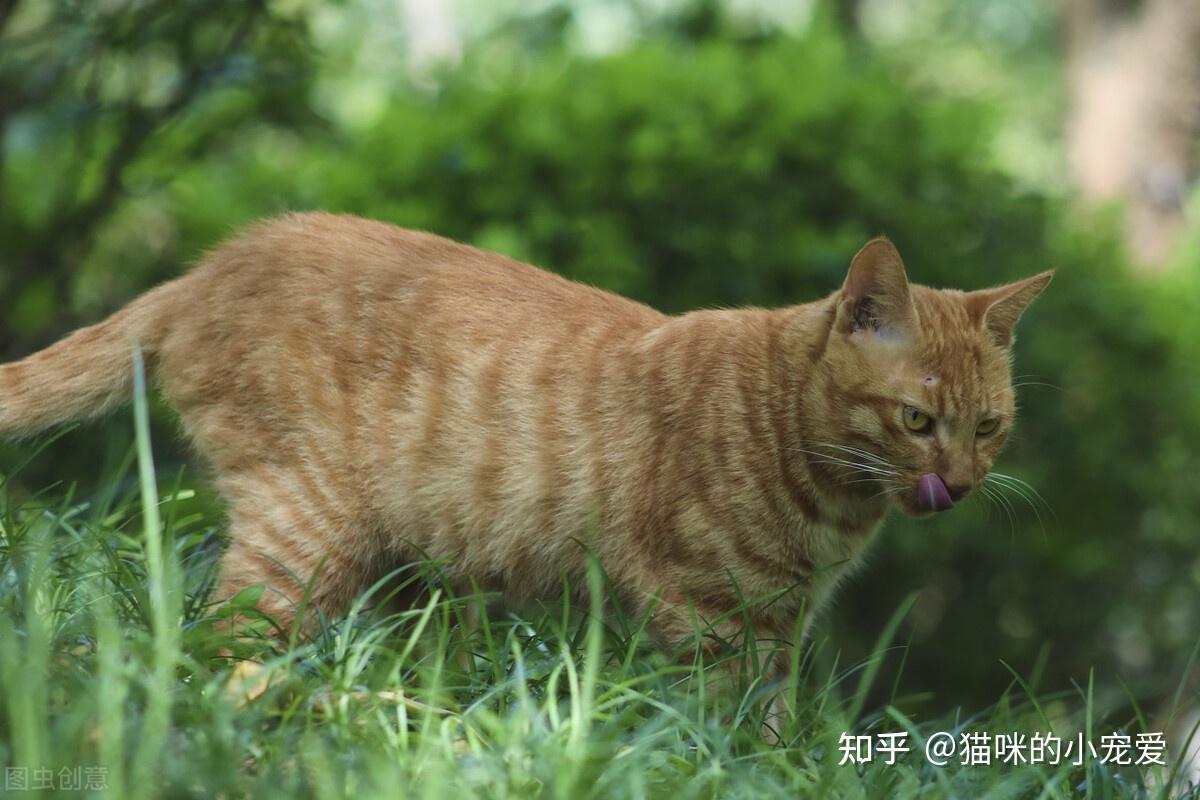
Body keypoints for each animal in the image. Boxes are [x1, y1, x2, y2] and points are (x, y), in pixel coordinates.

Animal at [0, 214, 1051, 681]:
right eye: (916, 421)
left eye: (987, 427)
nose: (960, 484)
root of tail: (207, 269)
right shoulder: (712, 621)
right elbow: (741, 732)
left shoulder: (781, 626)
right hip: (302, 537)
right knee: (218, 644)